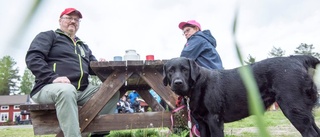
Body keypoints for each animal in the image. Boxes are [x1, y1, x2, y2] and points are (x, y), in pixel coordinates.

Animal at [164, 55, 318, 136]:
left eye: (185, 69)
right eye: (170, 71)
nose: (177, 83)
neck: (198, 84)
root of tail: (297, 59)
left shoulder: (214, 120)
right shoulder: (202, 123)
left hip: (294, 110)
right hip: (305, 113)